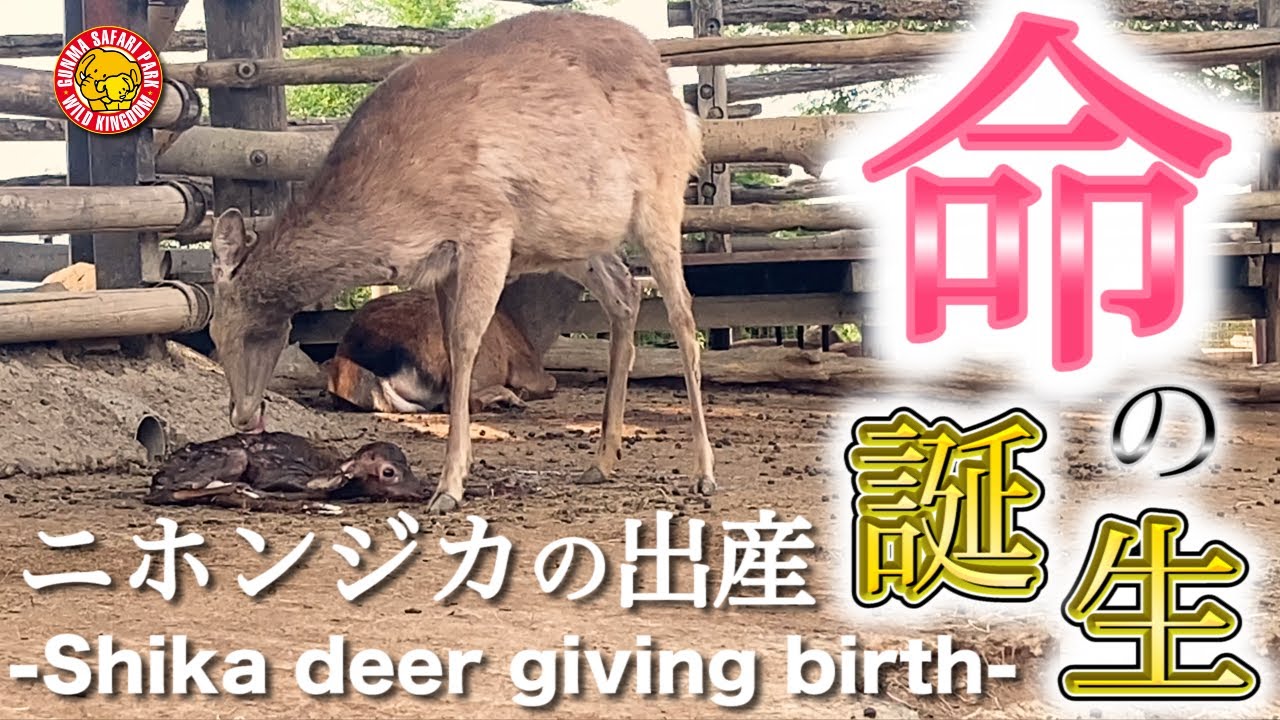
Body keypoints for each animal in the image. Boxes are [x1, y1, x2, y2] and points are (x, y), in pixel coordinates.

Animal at [208, 10, 715, 513]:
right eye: (212, 333)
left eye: (231, 328)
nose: (242, 414)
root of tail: (684, 110)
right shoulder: (443, 265)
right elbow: (453, 349)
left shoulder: (487, 231)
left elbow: (467, 341)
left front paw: (448, 487)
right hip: (577, 241)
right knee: (624, 292)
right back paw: (602, 460)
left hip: (661, 198)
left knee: (683, 316)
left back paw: (704, 473)